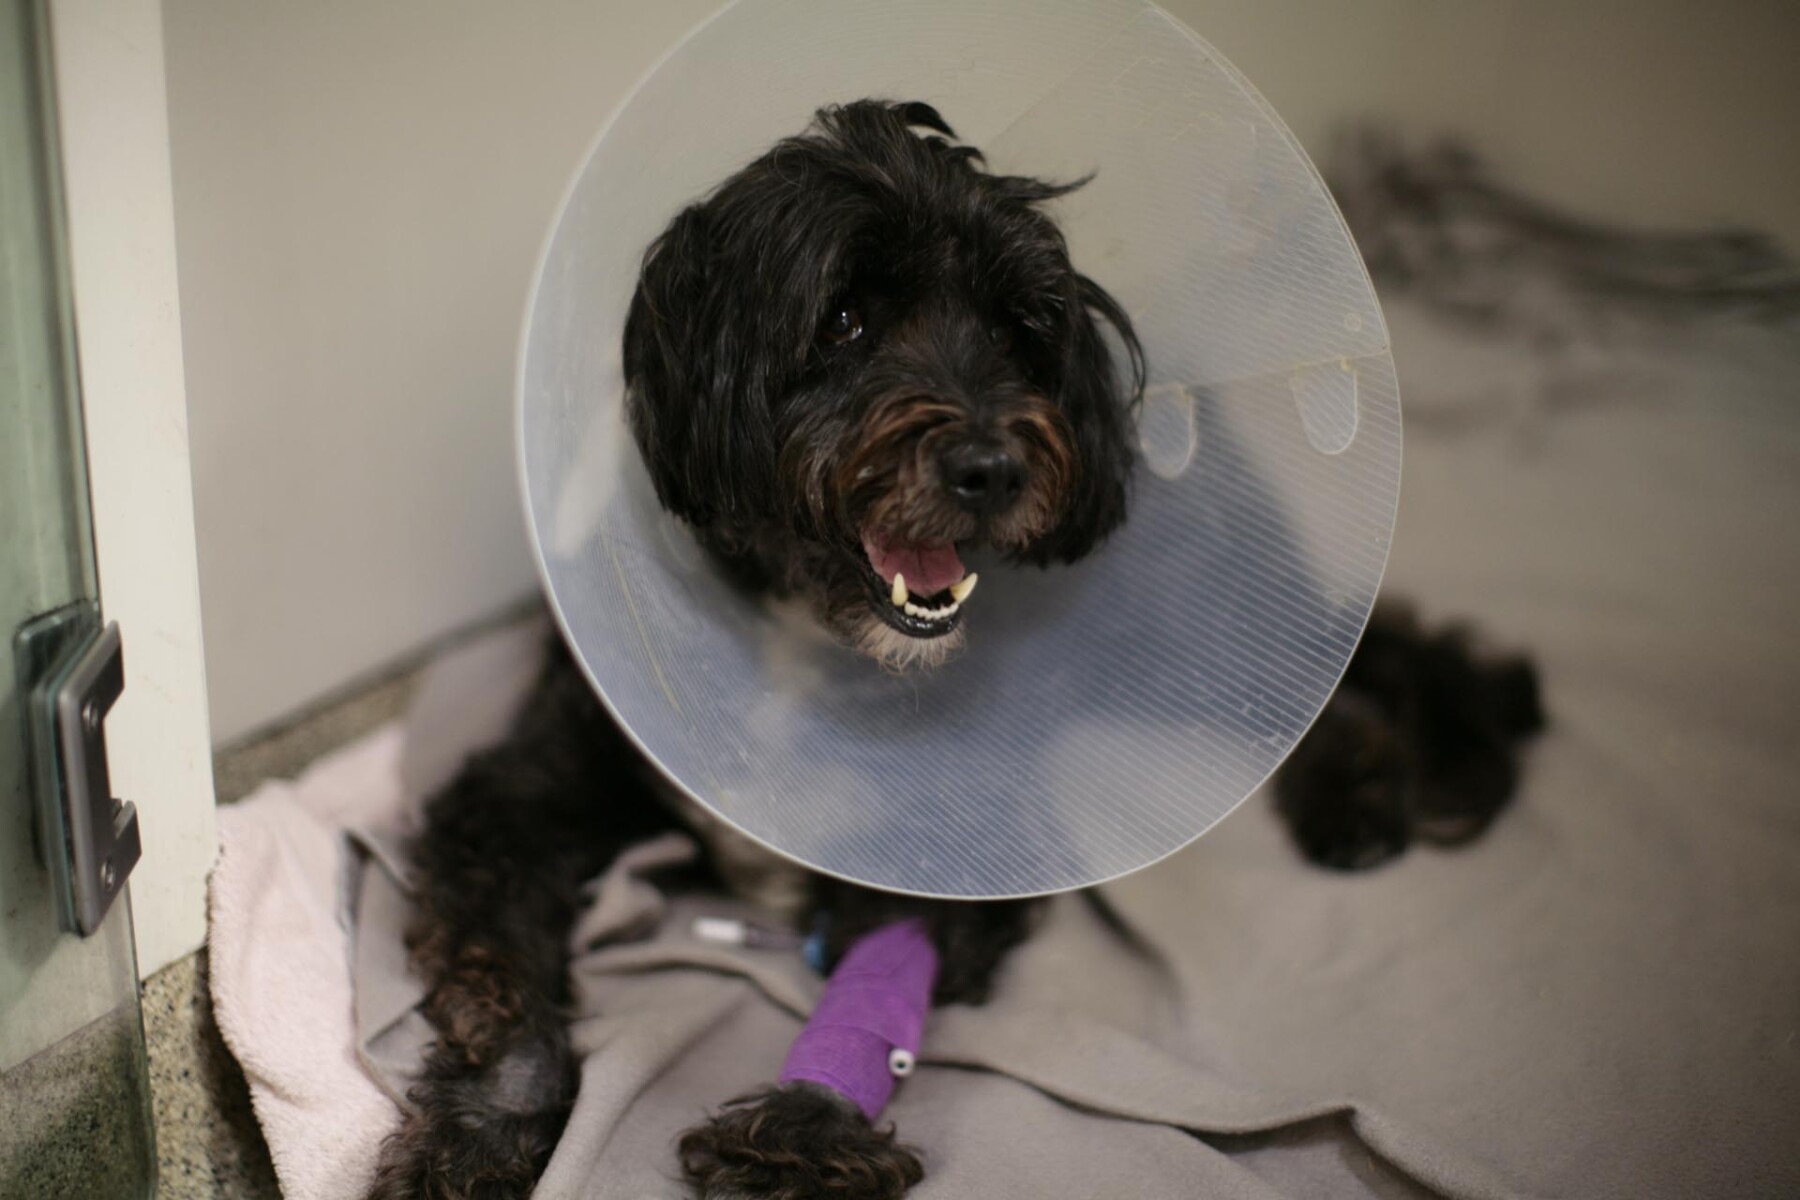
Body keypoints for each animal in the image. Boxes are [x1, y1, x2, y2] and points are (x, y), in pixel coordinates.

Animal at [369, 103, 1548, 1200]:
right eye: (844, 318)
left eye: (1021, 330)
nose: (991, 467)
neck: (804, 628)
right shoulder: (520, 792)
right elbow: (500, 974)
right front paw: (478, 1140)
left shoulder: (965, 842)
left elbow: (879, 972)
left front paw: (803, 1138)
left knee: (1330, 660)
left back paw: (1376, 785)